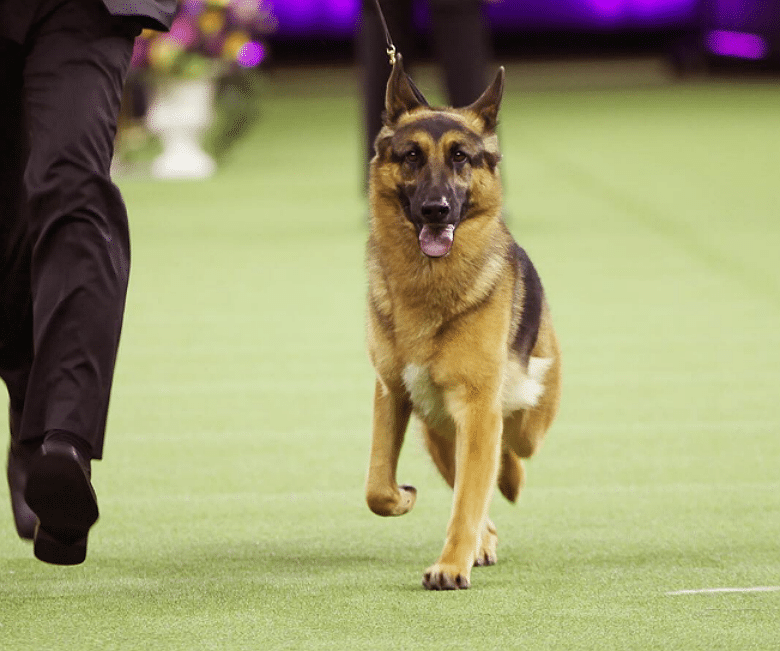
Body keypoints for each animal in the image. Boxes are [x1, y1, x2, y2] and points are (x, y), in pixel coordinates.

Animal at [366, 57, 560, 592]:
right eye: (411, 156)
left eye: (460, 158)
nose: (436, 210)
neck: (429, 288)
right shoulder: (392, 393)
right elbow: (377, 486)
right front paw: (404, 499)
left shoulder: (477, 409)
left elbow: (469, 499)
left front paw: (452, 564)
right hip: (436, 429)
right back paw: (485, 537)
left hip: (525, 415)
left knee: (511, 445)